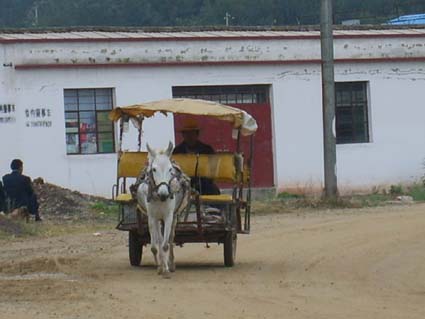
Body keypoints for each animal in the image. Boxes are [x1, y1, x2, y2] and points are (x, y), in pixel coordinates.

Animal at [136, 141, 189, 278]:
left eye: (170, 169)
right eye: (154, 169)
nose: (164, 194)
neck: (159, 197)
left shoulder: (168, 216)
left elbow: (165, 245)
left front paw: (166, 269)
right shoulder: (152, 218)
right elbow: (156, 245)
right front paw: (160, 267)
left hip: (174, 217)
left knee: (170, 239)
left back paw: (171, 264)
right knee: (159, 239)